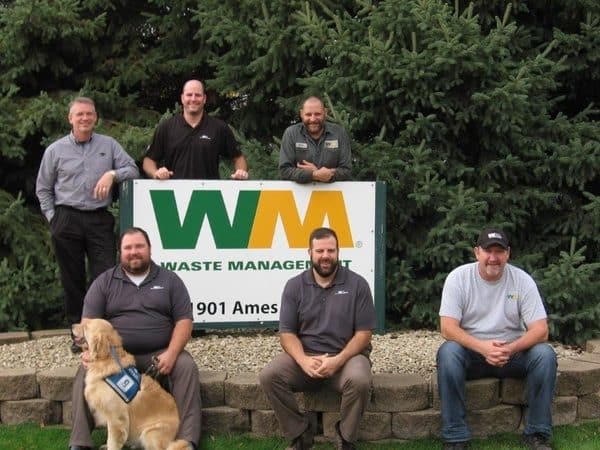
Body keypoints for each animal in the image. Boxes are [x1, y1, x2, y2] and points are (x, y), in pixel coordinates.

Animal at [73, 318, 190, 450]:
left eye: (86, 326)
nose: (71, 326)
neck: (107, 359)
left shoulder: (116, 418)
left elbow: (112, 441)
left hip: (150, 434)